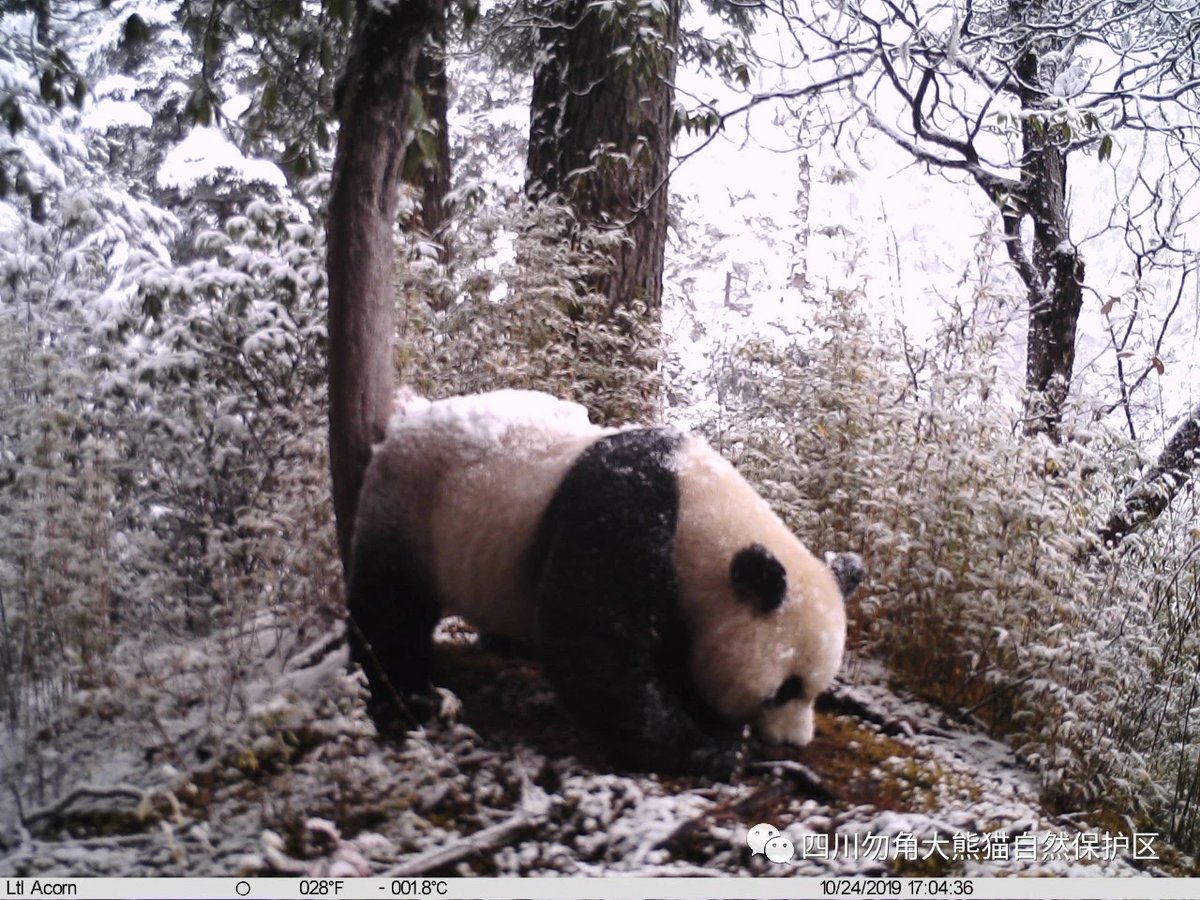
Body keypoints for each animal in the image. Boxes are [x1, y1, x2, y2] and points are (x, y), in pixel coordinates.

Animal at [347, 389, 862, 779]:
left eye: (817, 688)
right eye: (785, 689)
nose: (794, 743)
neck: (701, 514)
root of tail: (406, 420)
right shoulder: (621, 515)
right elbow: (593, 641)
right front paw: (705, 749)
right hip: (412, 507)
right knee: (391, 607)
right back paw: (411, 695)